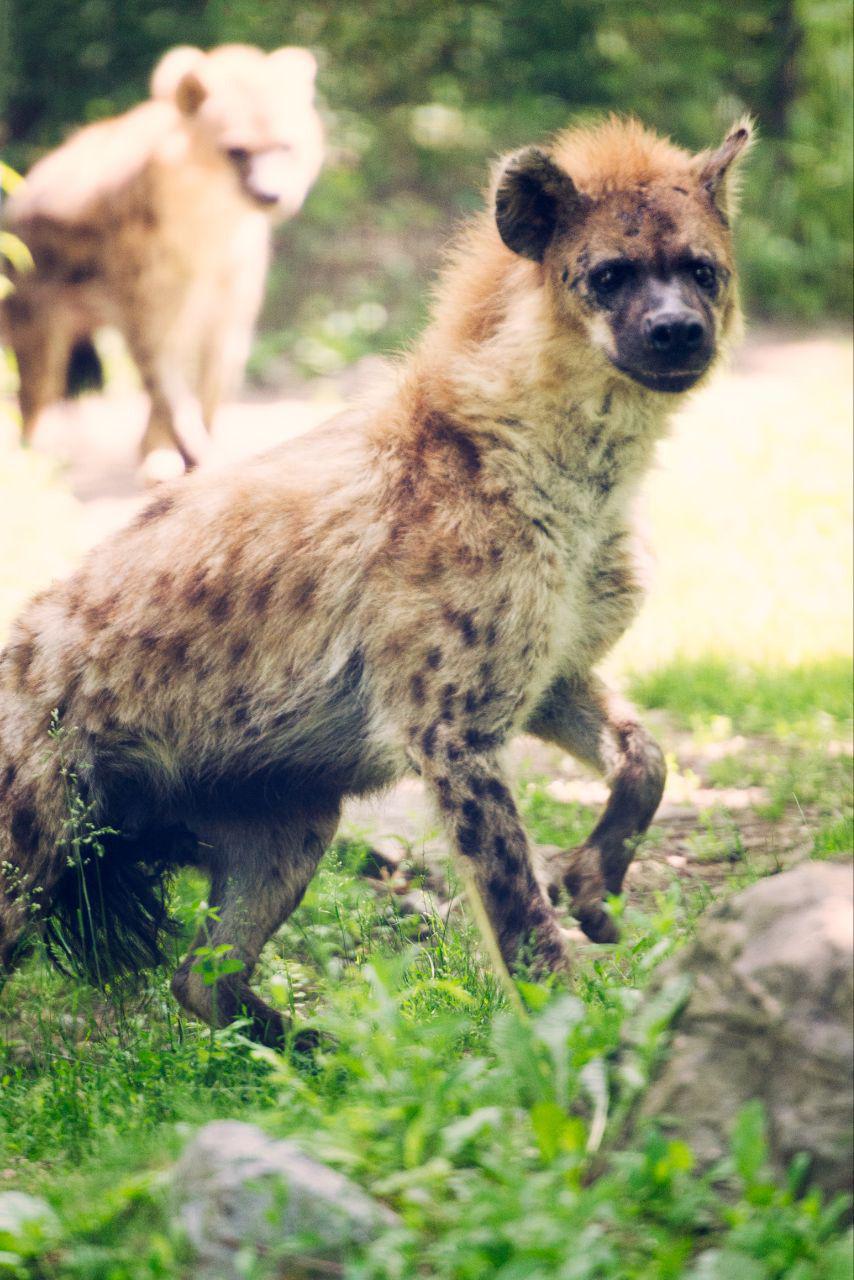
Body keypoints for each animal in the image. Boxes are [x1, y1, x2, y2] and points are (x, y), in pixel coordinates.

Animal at [0, 116, 752, 1044]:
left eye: (702, 270)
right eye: (609, 275)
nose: (680, 331)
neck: (580, 478)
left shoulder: (545, 670)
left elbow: (644, 752)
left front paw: (596, 883)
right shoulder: (450, 726)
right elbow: (515, 905)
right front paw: (572, 1033)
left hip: (285, 814)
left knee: (203, 971)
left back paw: (317, 1049)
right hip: (35, 827)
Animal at [1, 43, 323, 483]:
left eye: (285, 146)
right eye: (236, 151)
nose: (271, 195)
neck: (210, 228)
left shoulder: (230, 307)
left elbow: (211, 385)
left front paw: (188, 455)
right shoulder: (149, 304)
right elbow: (170, 389)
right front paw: (182, 459)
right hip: (36, 321)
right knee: (38, 392)